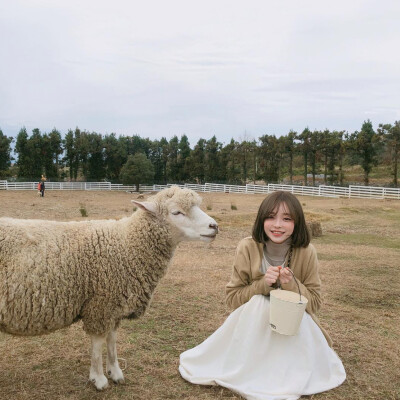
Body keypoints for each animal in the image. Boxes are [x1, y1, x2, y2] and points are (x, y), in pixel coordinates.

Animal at [0, 187, 219, 390]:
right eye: (176, 212)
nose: (214, 226)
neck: (127, 245)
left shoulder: (115, 306)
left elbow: (112, 340)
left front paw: (115, 372)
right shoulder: (101, 303)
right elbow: (98, 343)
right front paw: (98, 378)